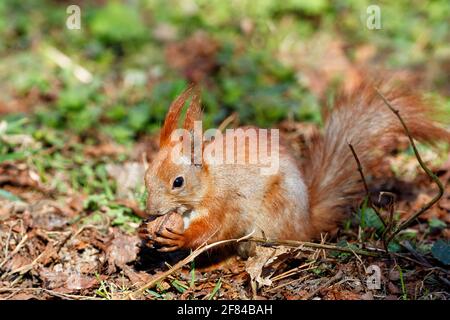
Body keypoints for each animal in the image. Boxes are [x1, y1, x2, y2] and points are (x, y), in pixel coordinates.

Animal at [141, 79, 450, 255]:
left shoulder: (226, 204)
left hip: (272, 218)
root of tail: (305, 223)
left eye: (178, 182)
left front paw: (181, 239)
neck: (209, 182)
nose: (151, 212)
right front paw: (145, 232)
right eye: (145, 177)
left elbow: (215, 230)